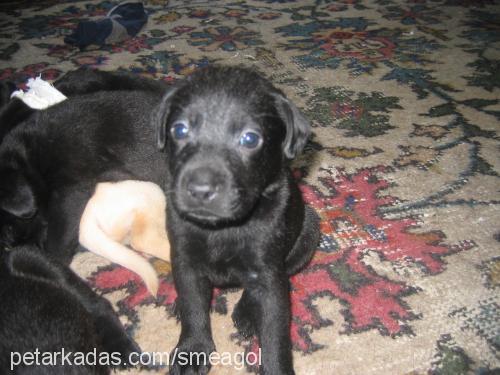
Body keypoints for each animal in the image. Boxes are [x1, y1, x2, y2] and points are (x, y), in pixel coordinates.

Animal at [155, 66, 320, 374]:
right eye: (180, 130)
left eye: (250, 138)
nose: (200, 189)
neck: (222, 228)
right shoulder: (185, 260)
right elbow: (194, 308)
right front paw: (192, 351)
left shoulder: (268, 273)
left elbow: (275, 335)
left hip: (308, 235)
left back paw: (246, 312)